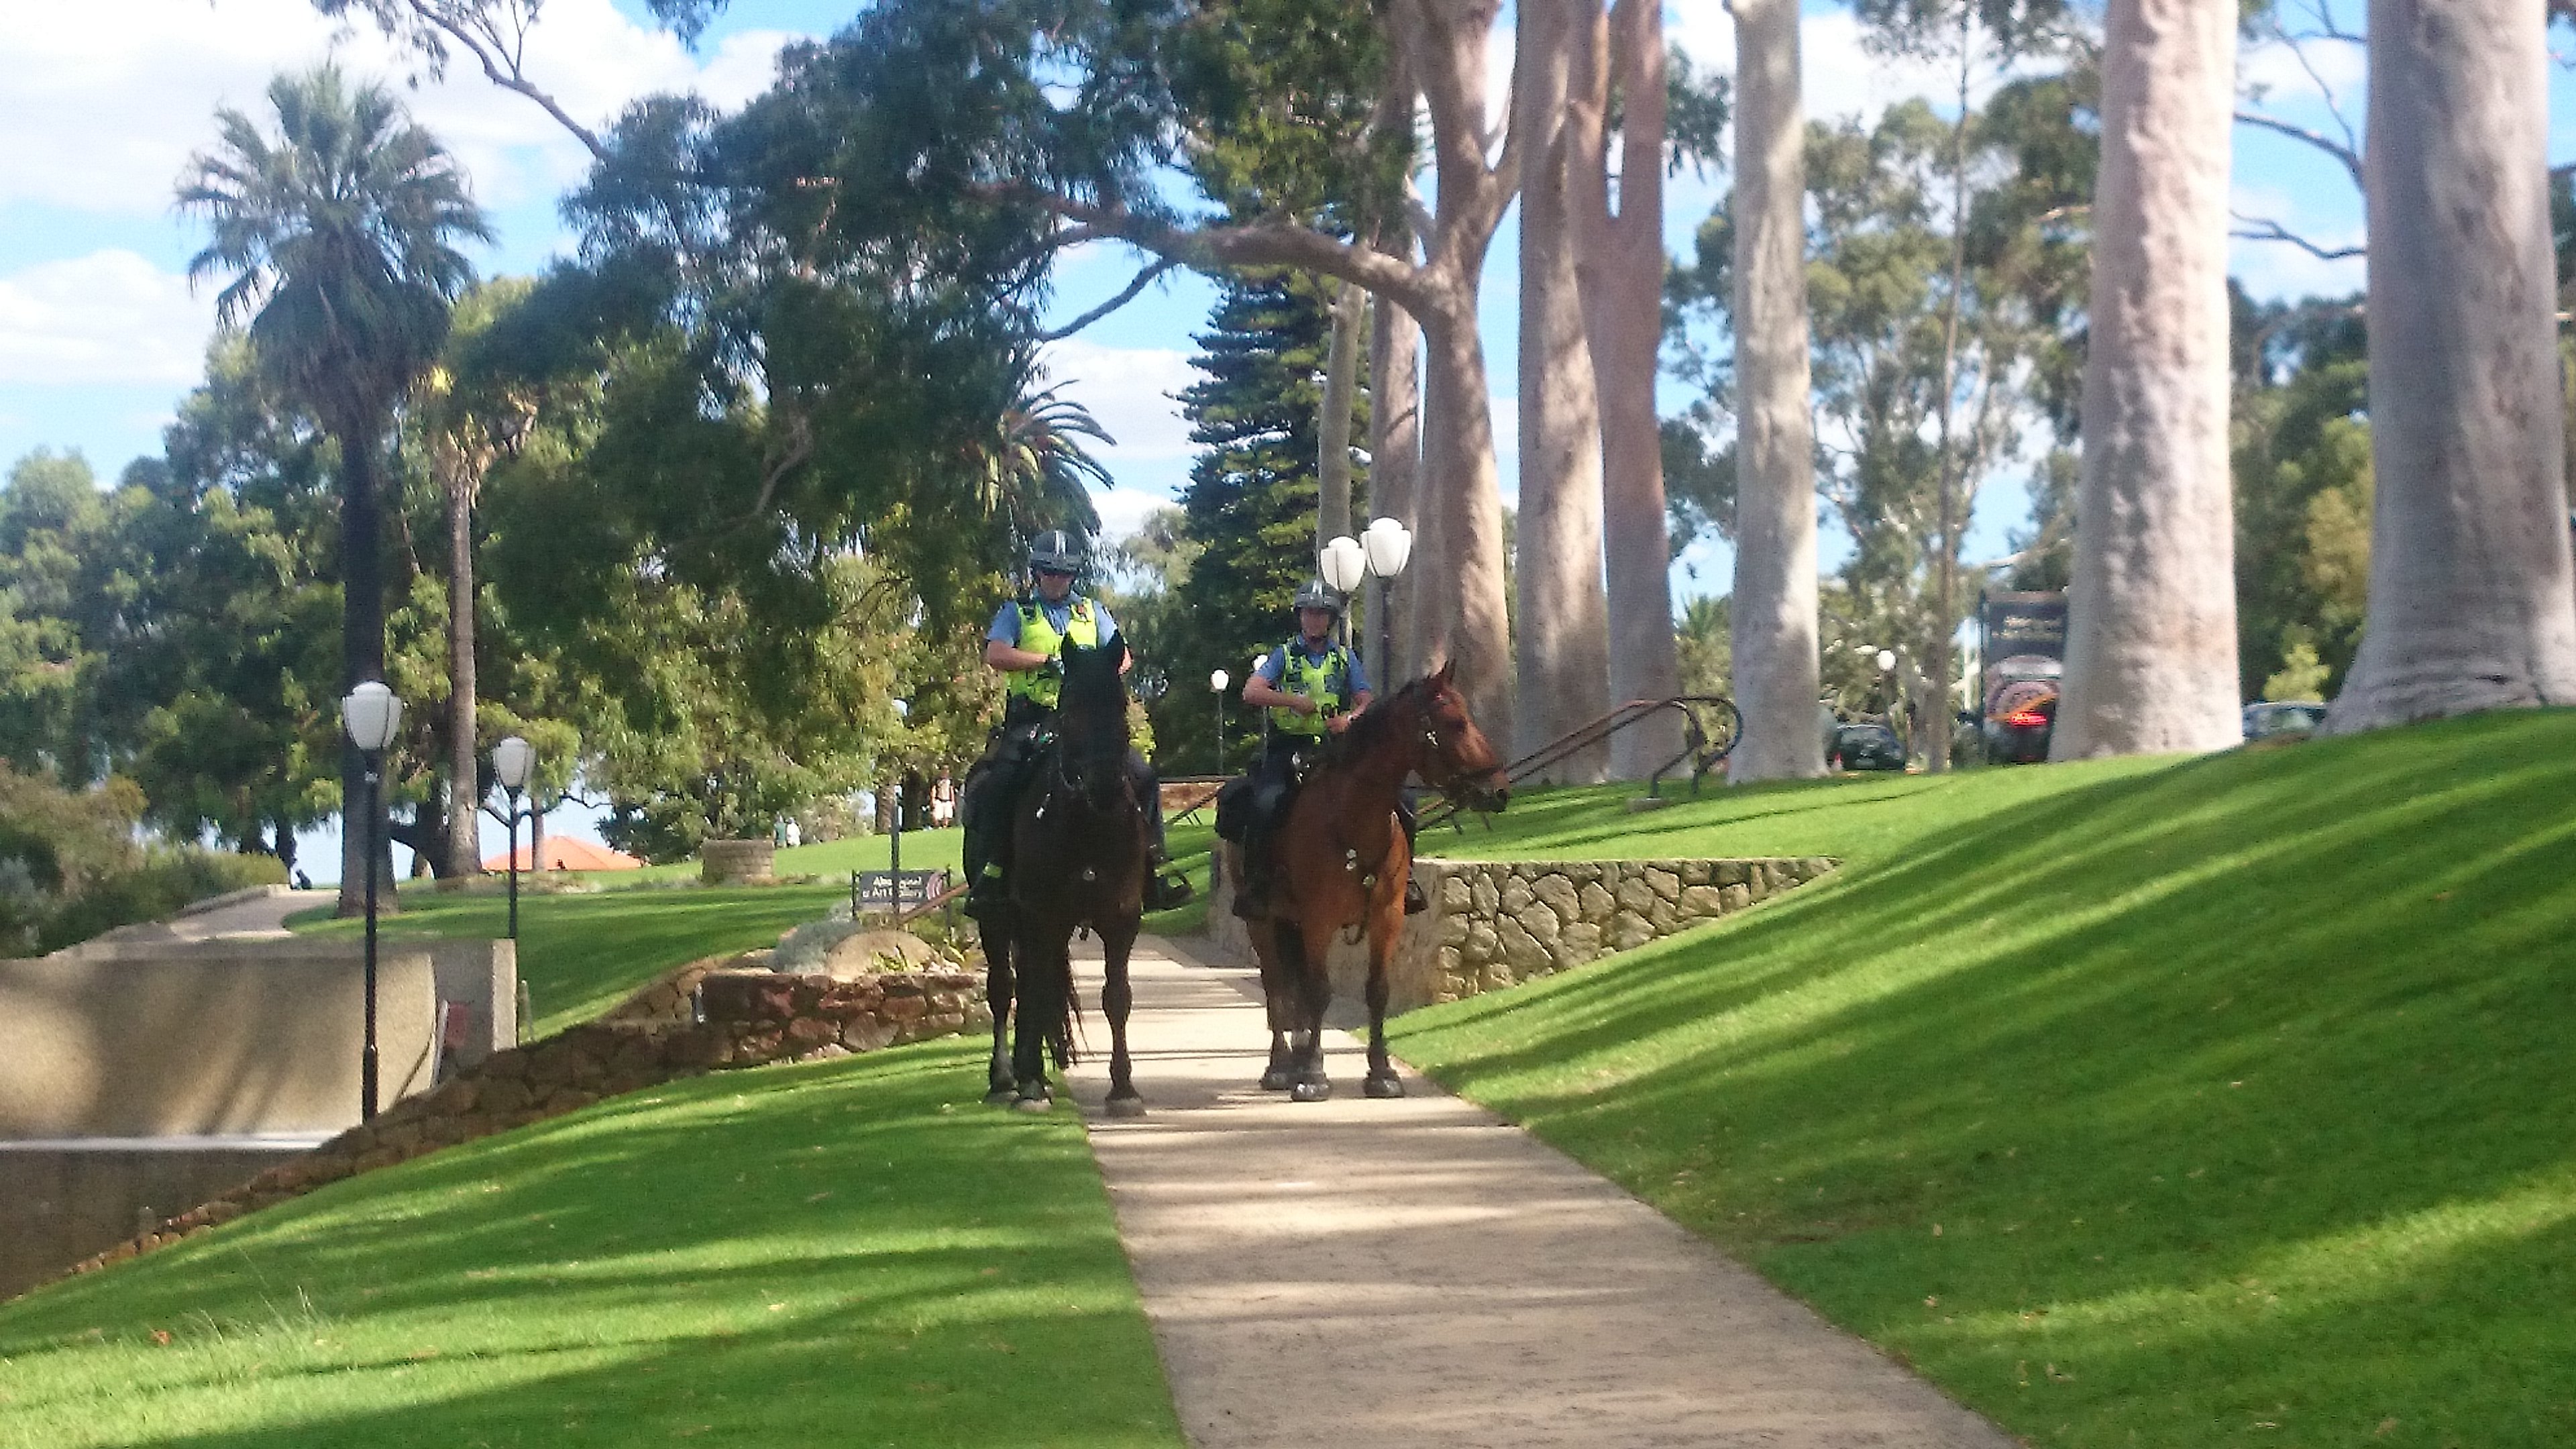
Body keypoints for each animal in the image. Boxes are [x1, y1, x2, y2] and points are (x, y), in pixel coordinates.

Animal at [983, 626, 1148, 1108]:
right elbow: (1034, 993)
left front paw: (1123, 1087)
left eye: (1119, 702)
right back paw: (1007, 1078)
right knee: (1004, 989)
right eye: (1071, 705)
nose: (1107, 785)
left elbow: (1117, 997)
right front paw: (1029, 1085)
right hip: (996, 920)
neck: (1087, 823)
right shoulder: (1042, 916)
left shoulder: (1122, 916)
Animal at [1231, 659, 1504, 1098]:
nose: (1499, 791)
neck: (1353, 818)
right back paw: (1281, 1066)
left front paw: (1381, 1071)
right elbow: (1319, 990)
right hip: (1263, 921)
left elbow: (1377, 991)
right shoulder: (1318, 919)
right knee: (1277, 987)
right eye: (1456, 723)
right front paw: (1314, 1074)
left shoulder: (1386, 917)